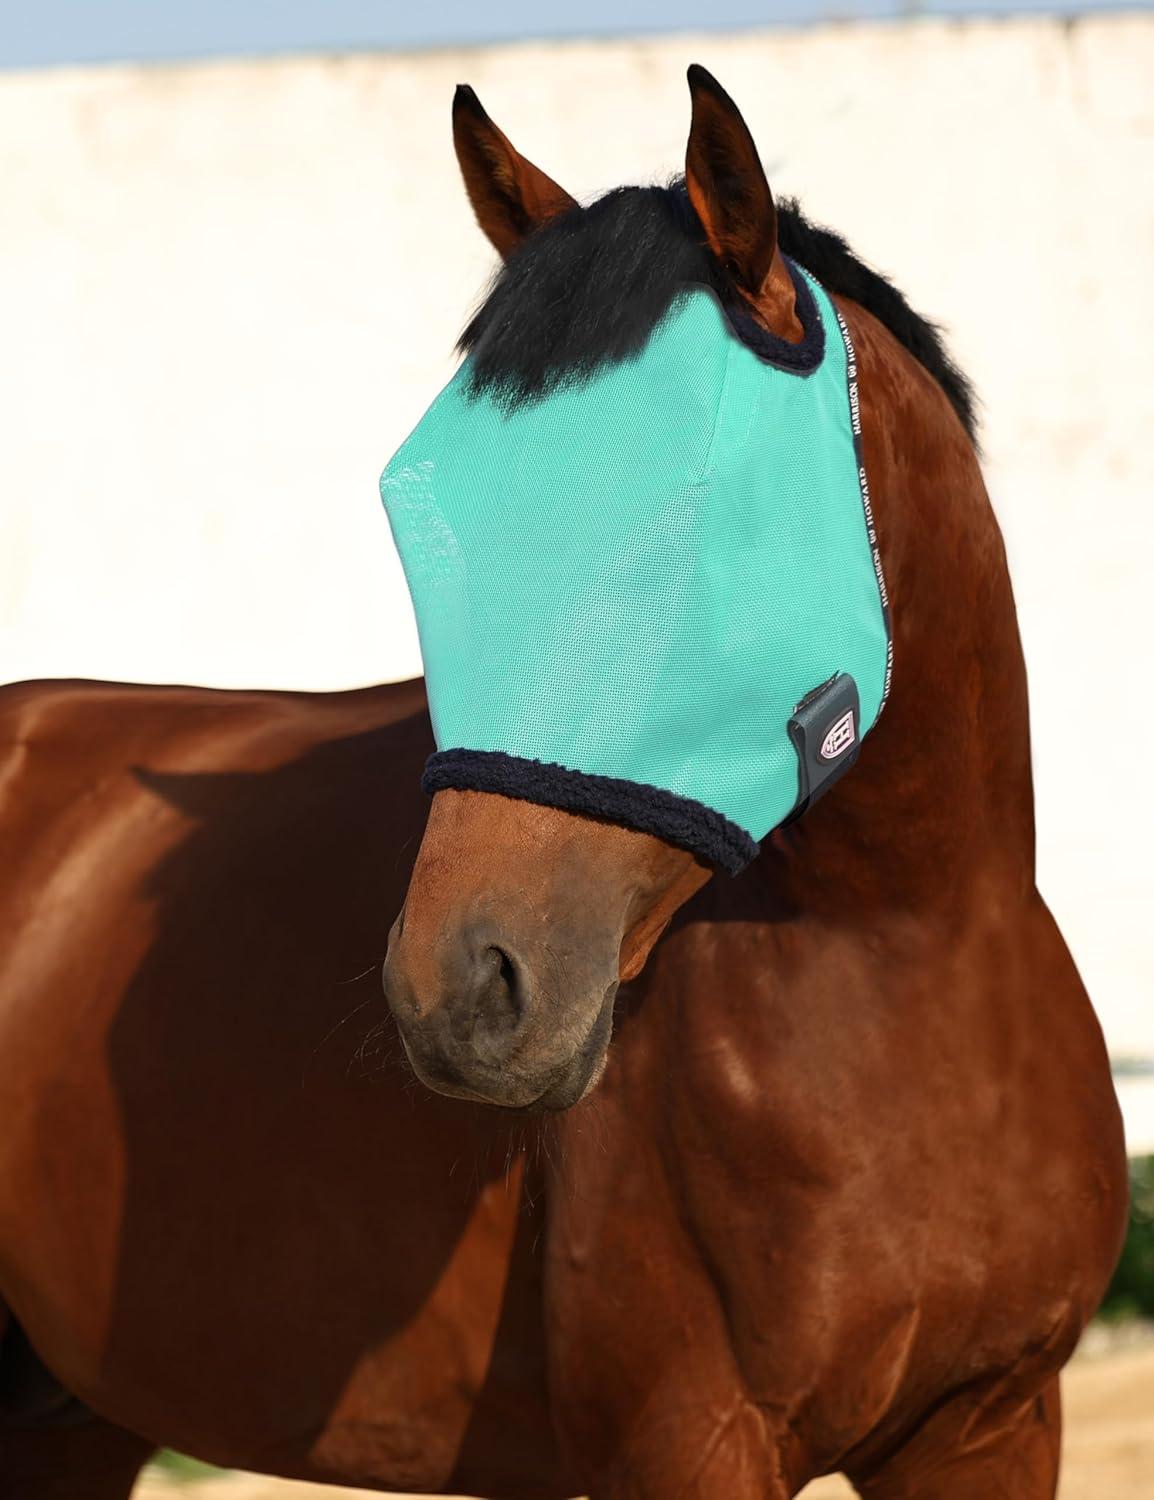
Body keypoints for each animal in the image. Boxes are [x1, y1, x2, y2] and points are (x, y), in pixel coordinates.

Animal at [0, 65, 1127, 1500]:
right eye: (419, 514)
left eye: (696, 507)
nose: (457, 993)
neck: (909, 960)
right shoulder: (685, 1440)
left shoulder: (989, 1423)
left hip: (70, 1420)